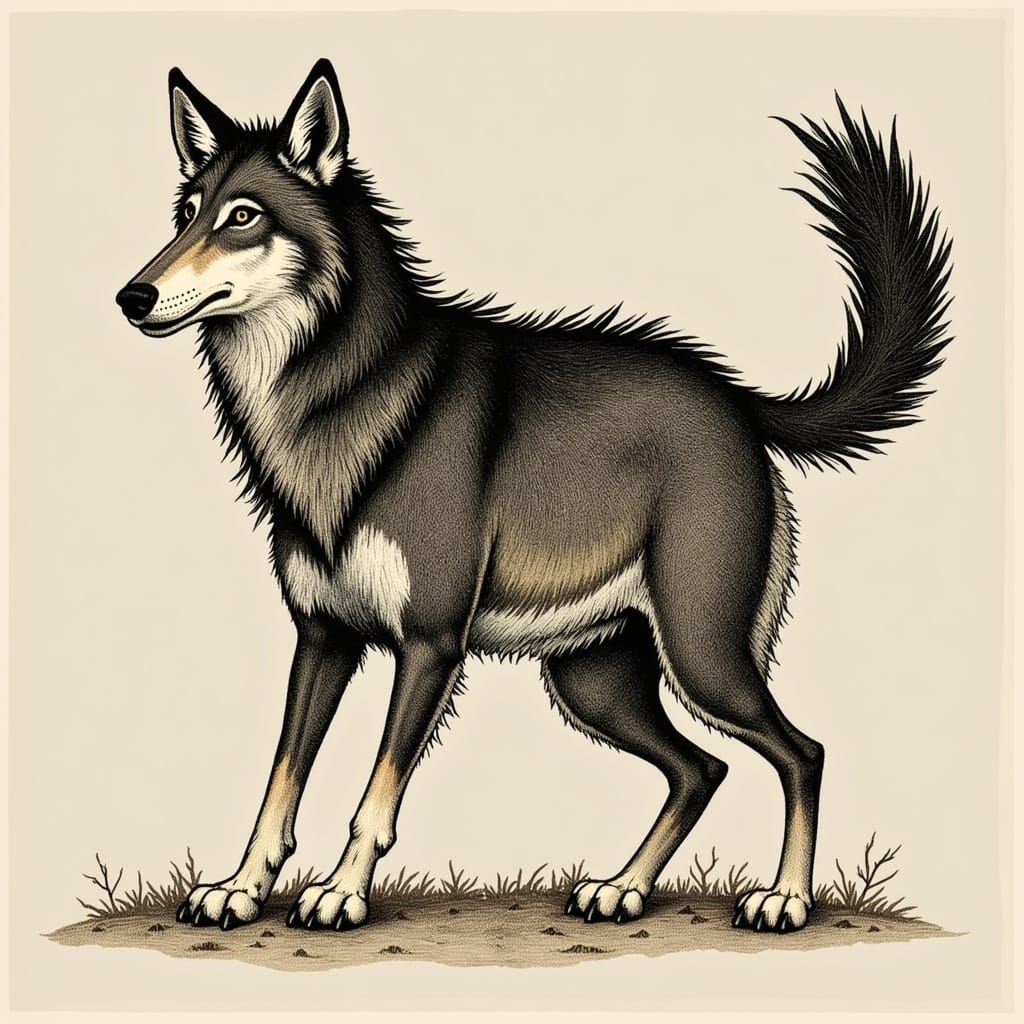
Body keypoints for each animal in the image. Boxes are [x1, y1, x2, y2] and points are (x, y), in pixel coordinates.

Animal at [115, 59, 951, 935]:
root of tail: (735, 399)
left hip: (700, 659)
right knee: (700, 769)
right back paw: (621, 888)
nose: (131, 297)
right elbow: (279, 784)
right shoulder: (322, 639)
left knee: (799, 752)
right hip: (595, 683)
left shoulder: (429, 644)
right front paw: (239, 888)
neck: (340, 392)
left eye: (243, 217)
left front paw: (341, 892)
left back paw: (784, 897)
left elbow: (374, 796)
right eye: (186, 213)